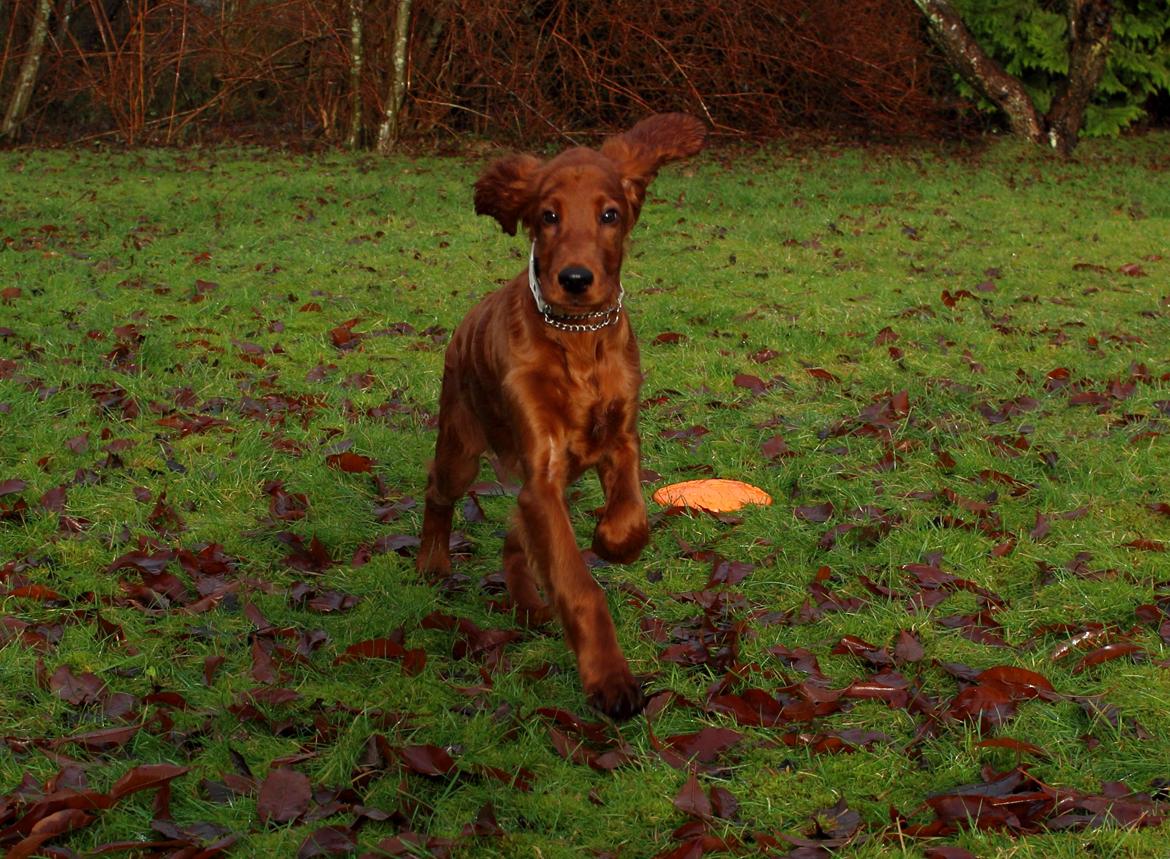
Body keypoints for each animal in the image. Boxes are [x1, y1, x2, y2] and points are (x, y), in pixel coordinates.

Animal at [418, 114, 702, 720]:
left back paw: (527, 603)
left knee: (514, 534)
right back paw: (432, 562)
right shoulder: (543, 472)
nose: (574, 279)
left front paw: (610, 542)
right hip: (460, 446)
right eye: (547, 216)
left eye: (609, 214)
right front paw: (610, 680)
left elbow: (630, 522)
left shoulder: (620, 441)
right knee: (439, 492)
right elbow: (578, 584)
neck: (577, 339)